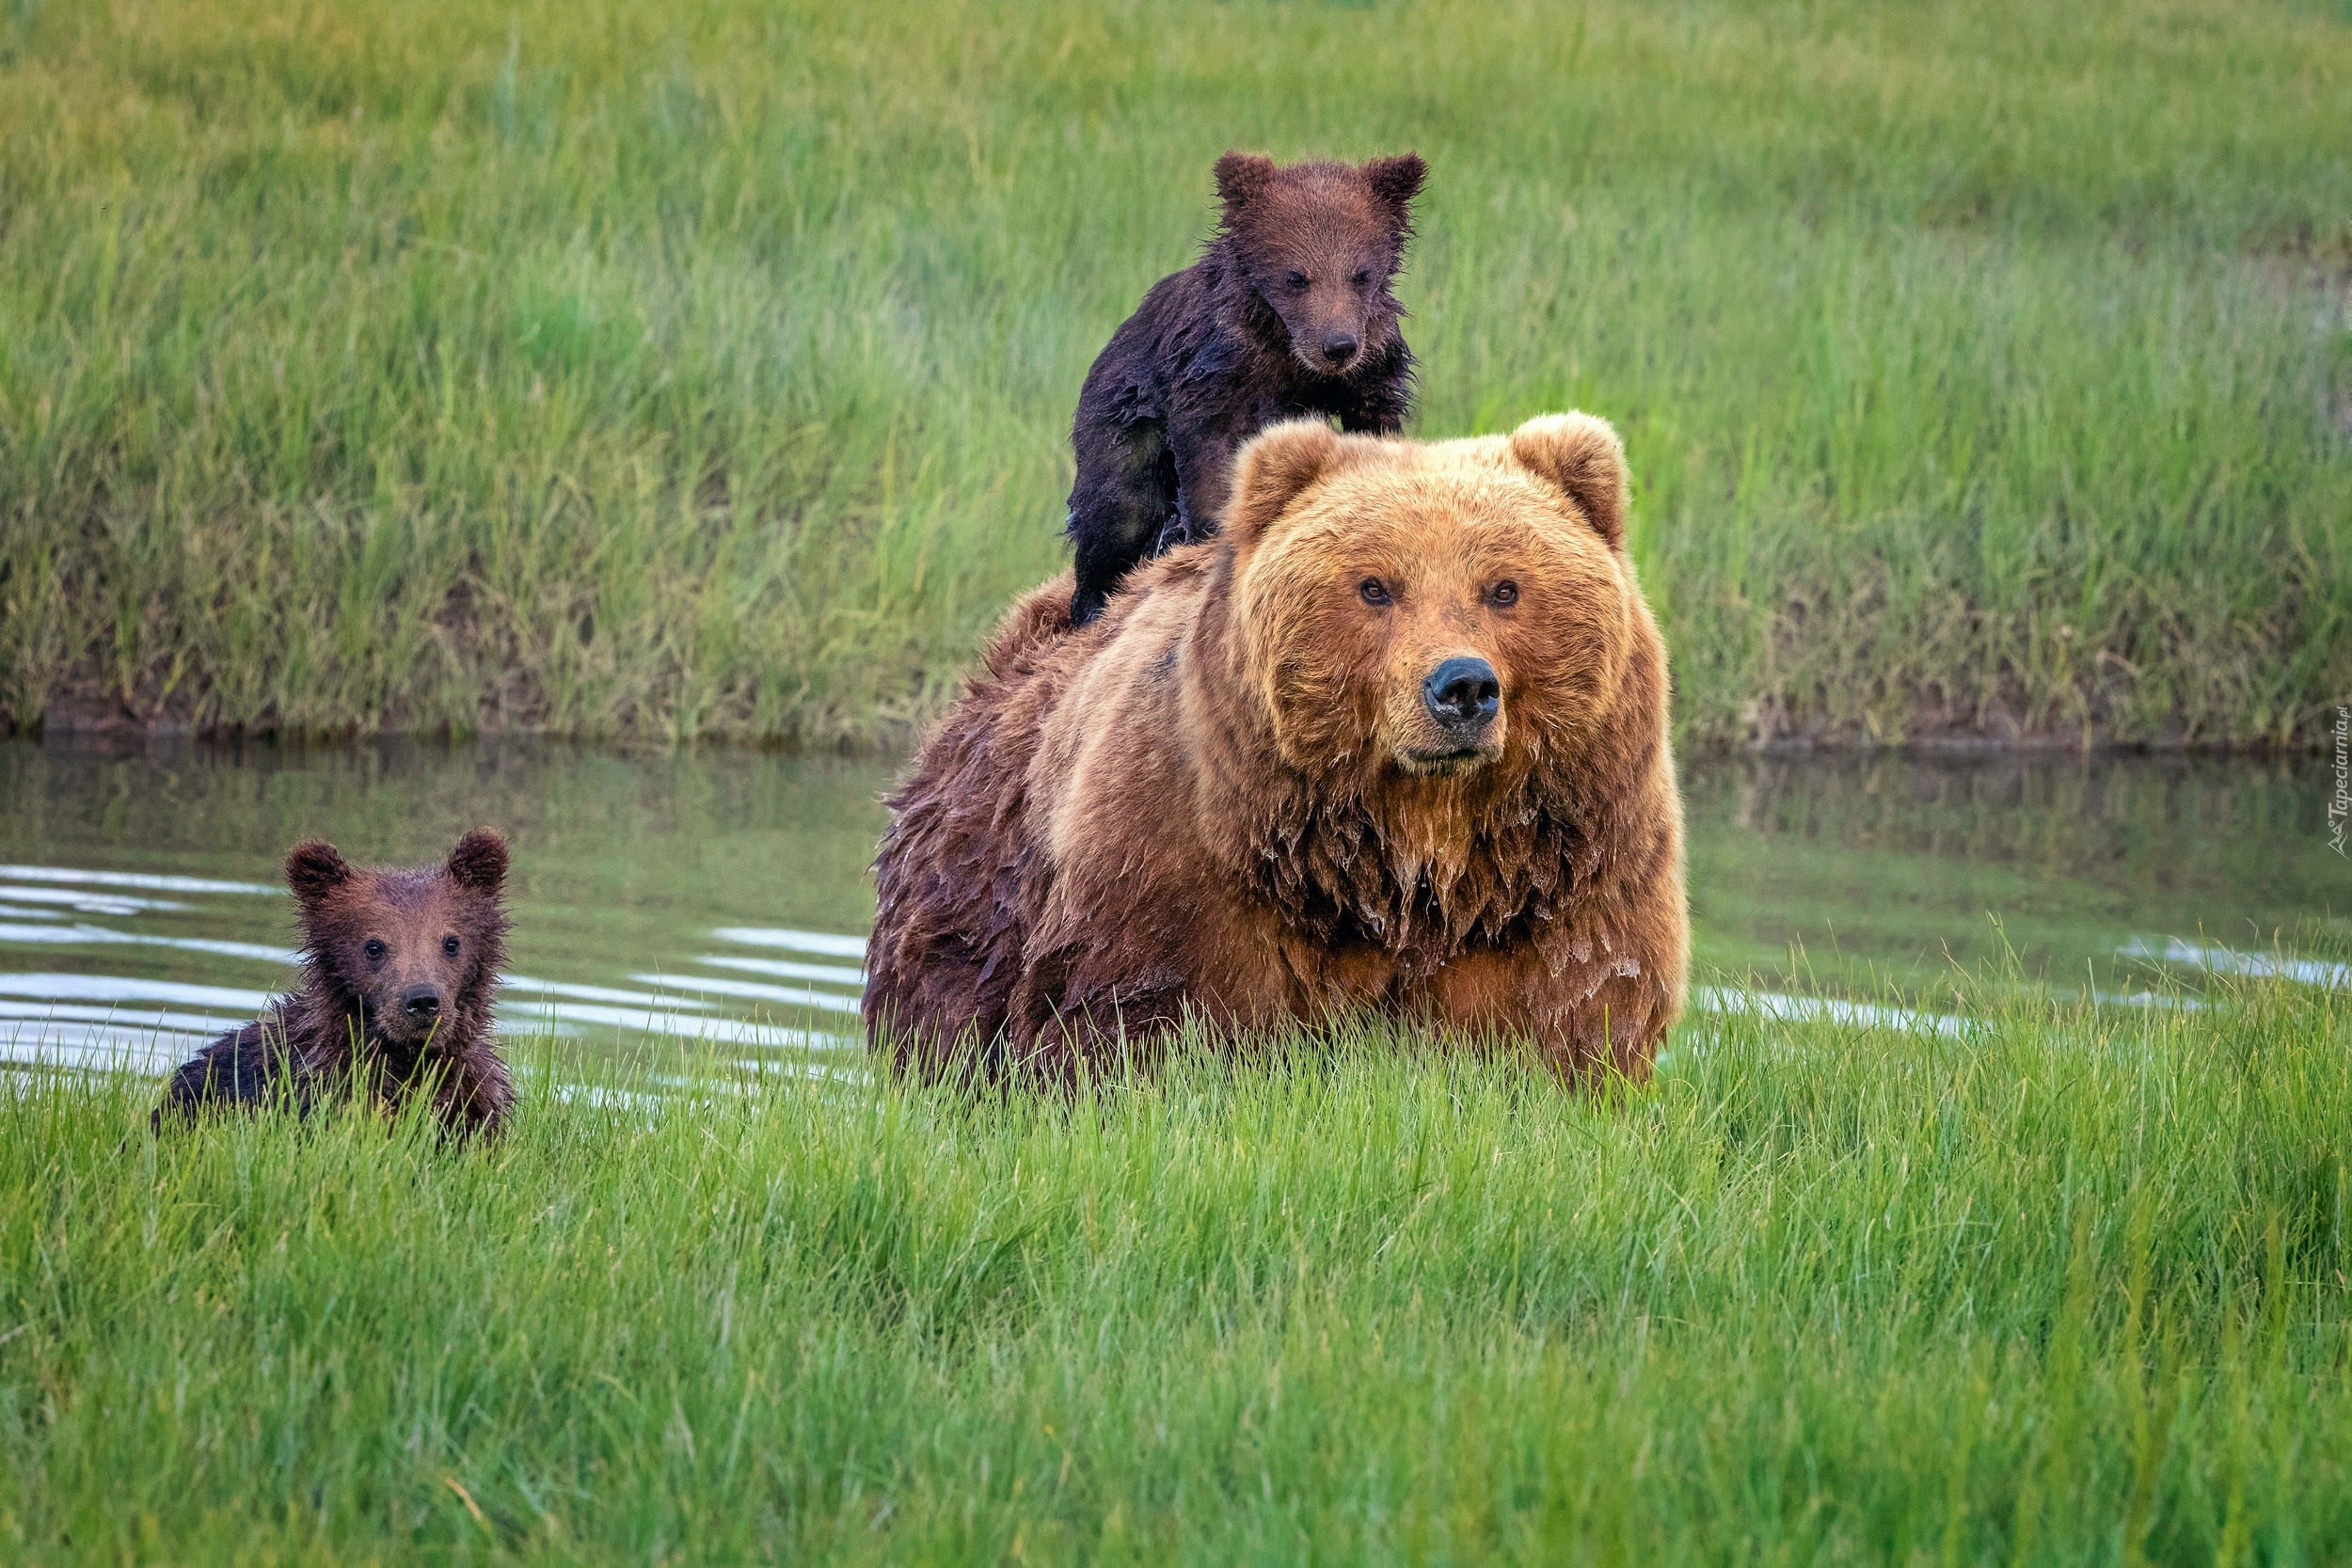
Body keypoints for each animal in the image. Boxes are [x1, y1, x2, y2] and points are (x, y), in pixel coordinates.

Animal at [870, 413, 1693, 1081]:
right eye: (1374, 586)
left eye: (1504, 587)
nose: (1461, 687)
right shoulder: (1183, 862)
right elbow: (1141, 1020)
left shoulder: (1562, 876)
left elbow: (1572, 1013)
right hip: (970, 903)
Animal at [1063, 150, 1421, 629]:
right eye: (1296, 276)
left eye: (1360, 274)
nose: (1338, 346)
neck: (1287, 350)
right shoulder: (1219, 367)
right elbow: (1207, 449)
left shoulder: (1372, 361)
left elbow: (1374, 420)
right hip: (1119, 417)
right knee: (1116, 510)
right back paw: (1093, 603)